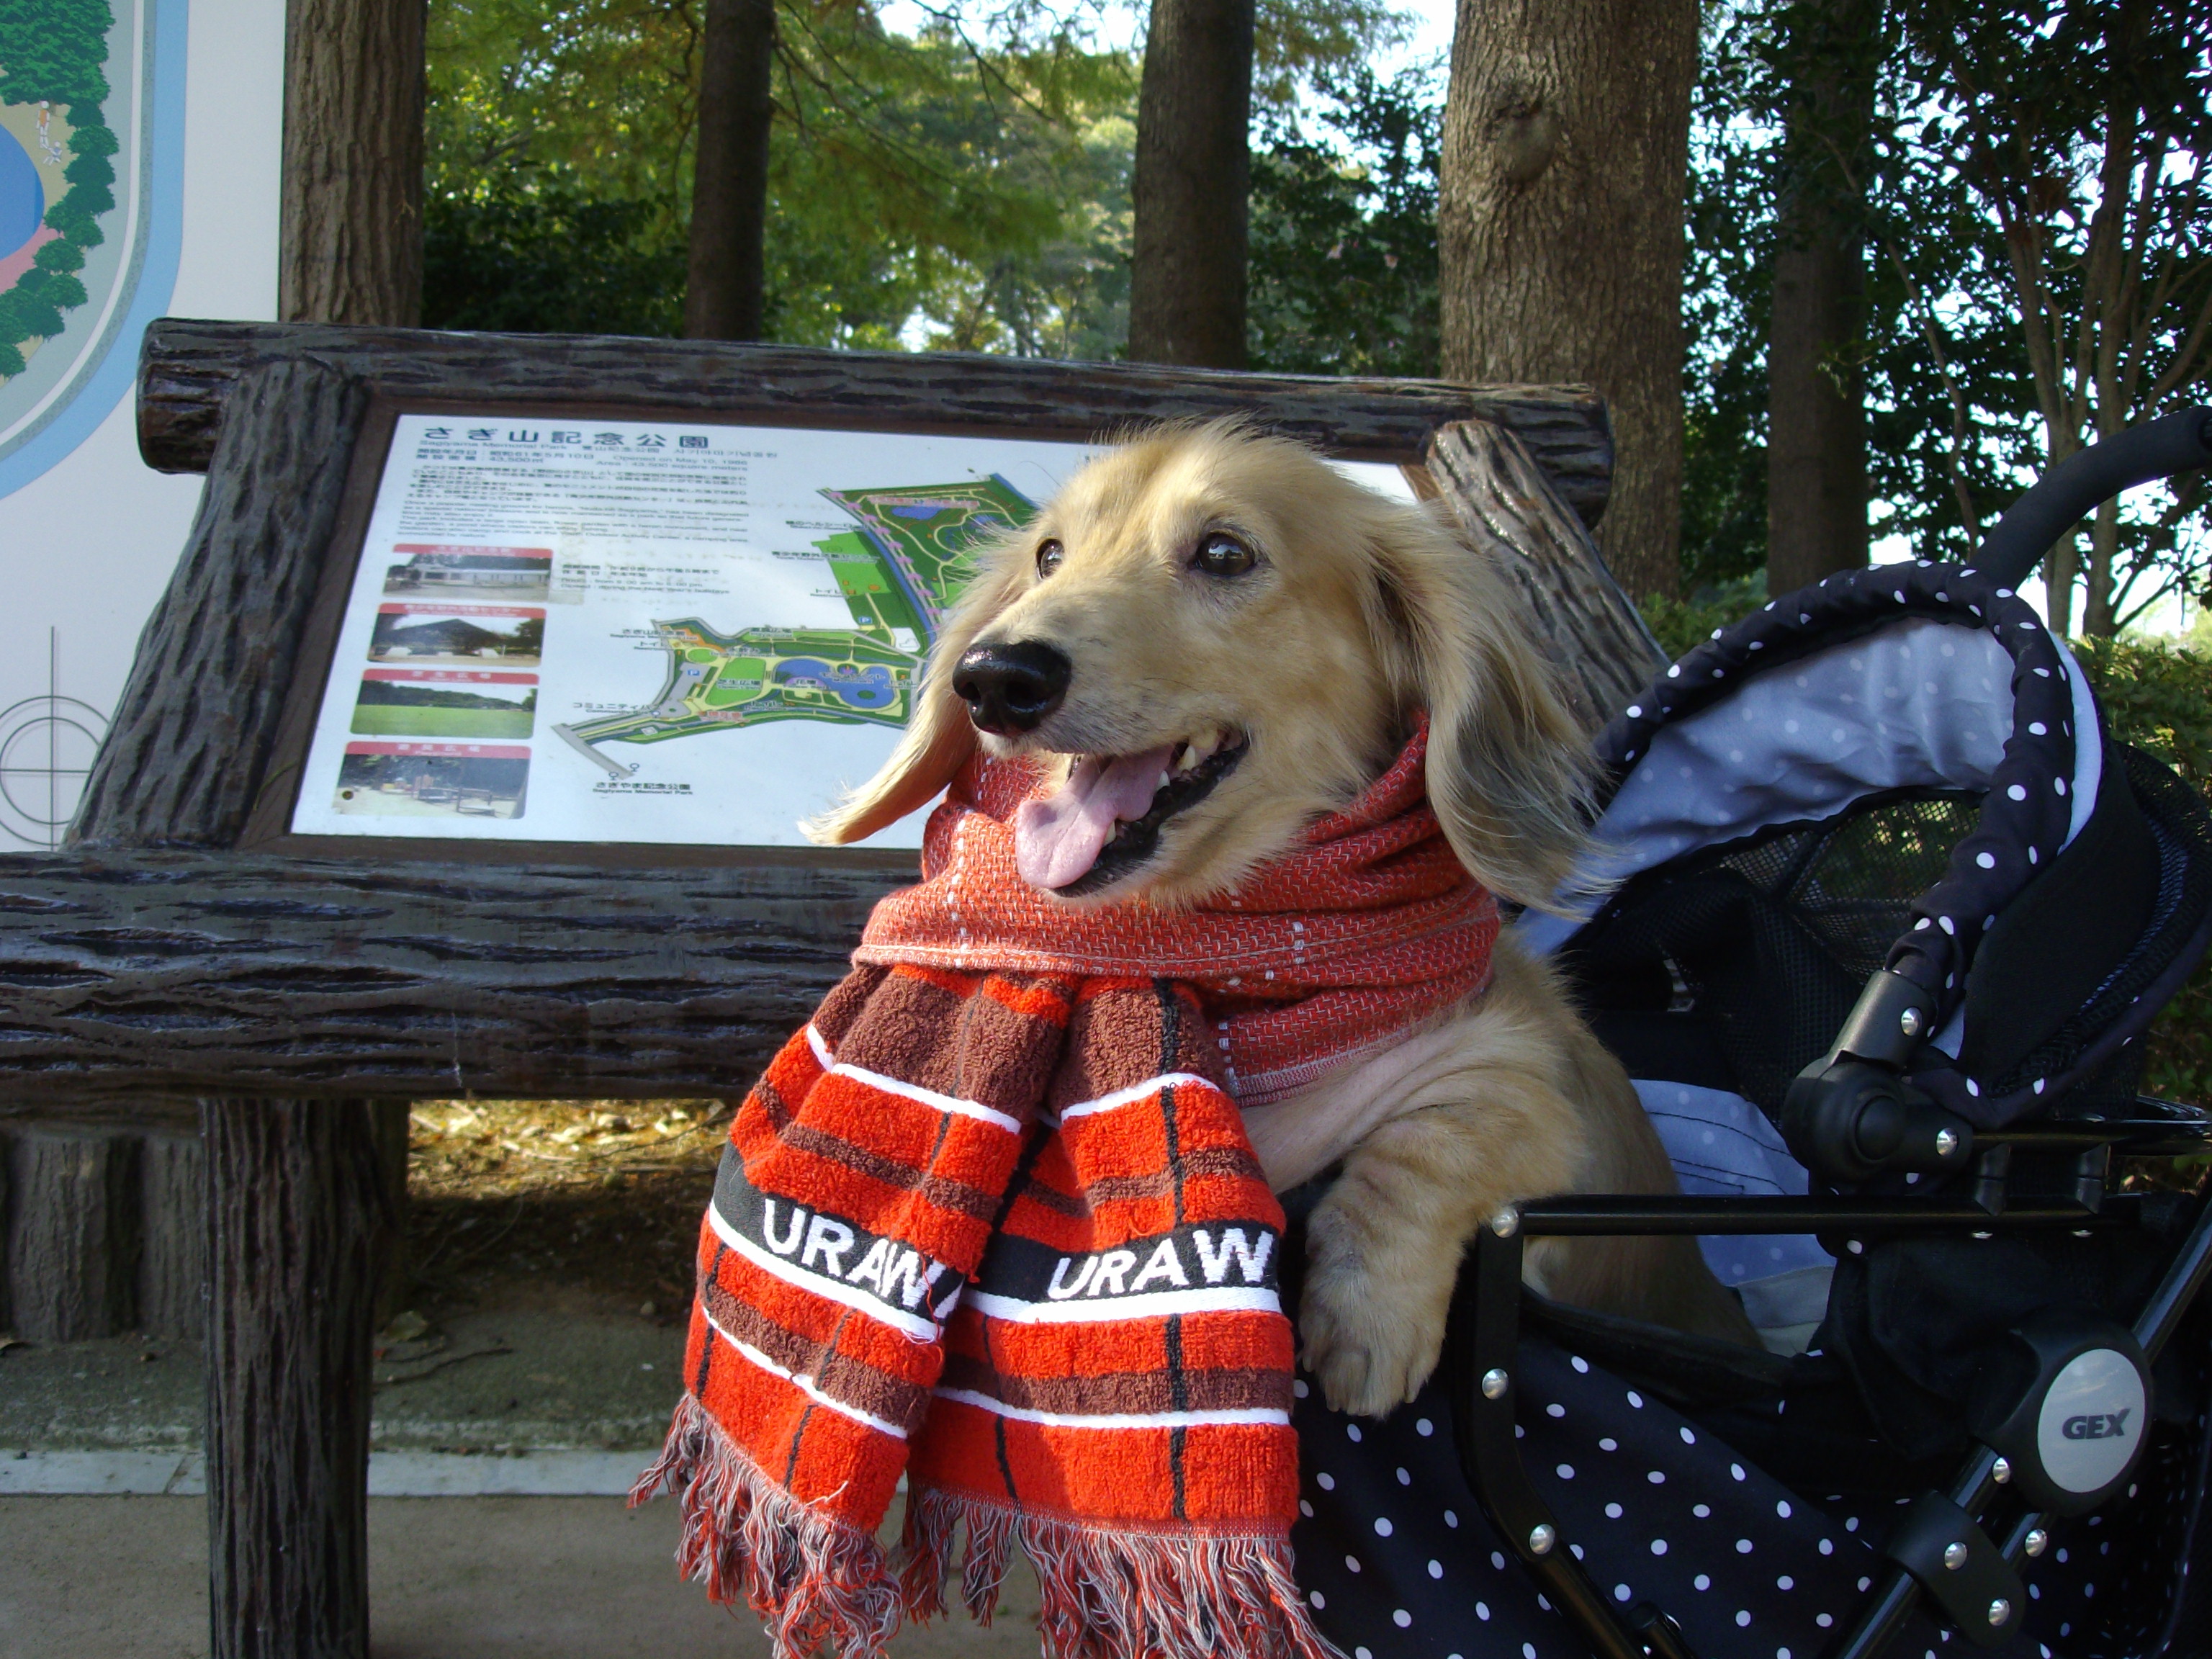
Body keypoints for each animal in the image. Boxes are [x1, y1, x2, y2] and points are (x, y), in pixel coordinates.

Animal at [805, 418, 1752, 1416]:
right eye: (1048, 555)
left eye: (1225, 552)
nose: (992, 677)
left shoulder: (1539, 1084)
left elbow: (1440, 1133)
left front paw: (1369, 1318)